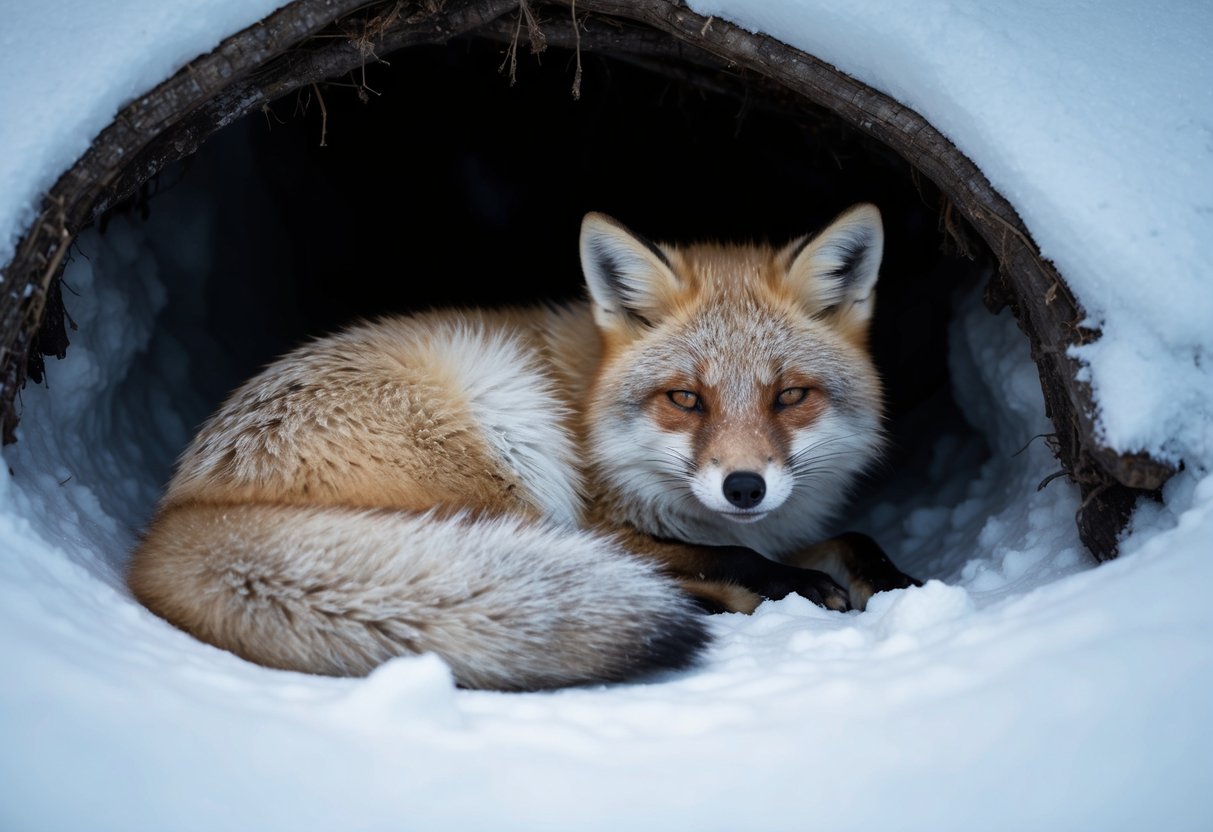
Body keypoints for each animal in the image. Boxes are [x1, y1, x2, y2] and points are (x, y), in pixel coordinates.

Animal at [127, 203, 920, 691]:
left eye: (789, 396)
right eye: (685, 399)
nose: (744, 487)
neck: (594, 410)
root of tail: (180, 512)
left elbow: (851, 539)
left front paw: (900, 585)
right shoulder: (606, 522)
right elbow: (726, 555)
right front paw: (788, 586)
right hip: (504, 424)